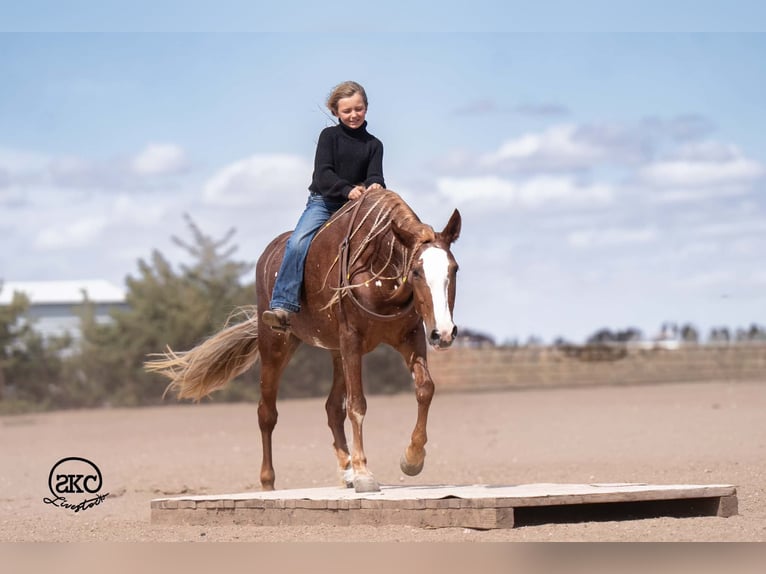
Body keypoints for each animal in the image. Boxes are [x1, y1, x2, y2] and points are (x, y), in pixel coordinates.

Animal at [145, 189, 461, 493]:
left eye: (454, 269)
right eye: (416, 271)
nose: (444, 333)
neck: (376, 265)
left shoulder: (411, 337)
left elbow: (425, 389)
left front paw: (412, 459)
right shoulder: (352, 341)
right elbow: (357, 405)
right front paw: (364, 474)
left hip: (335, 351)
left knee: (332, 409)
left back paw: (346, 471)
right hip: (276, 345)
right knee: (267, 413)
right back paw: (268, 481)